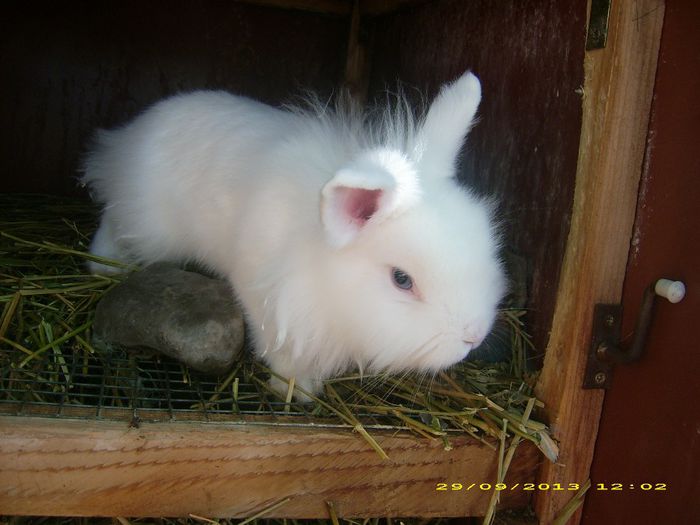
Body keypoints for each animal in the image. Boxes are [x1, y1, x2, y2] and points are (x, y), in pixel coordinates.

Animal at [85, 71, 506, 396]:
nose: (473, 337)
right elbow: (280, 350)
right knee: (112, 220)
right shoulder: (265, 300)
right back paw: (104, 266)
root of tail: (126, 139)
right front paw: (297, 389)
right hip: (147, 227)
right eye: (402, 280)